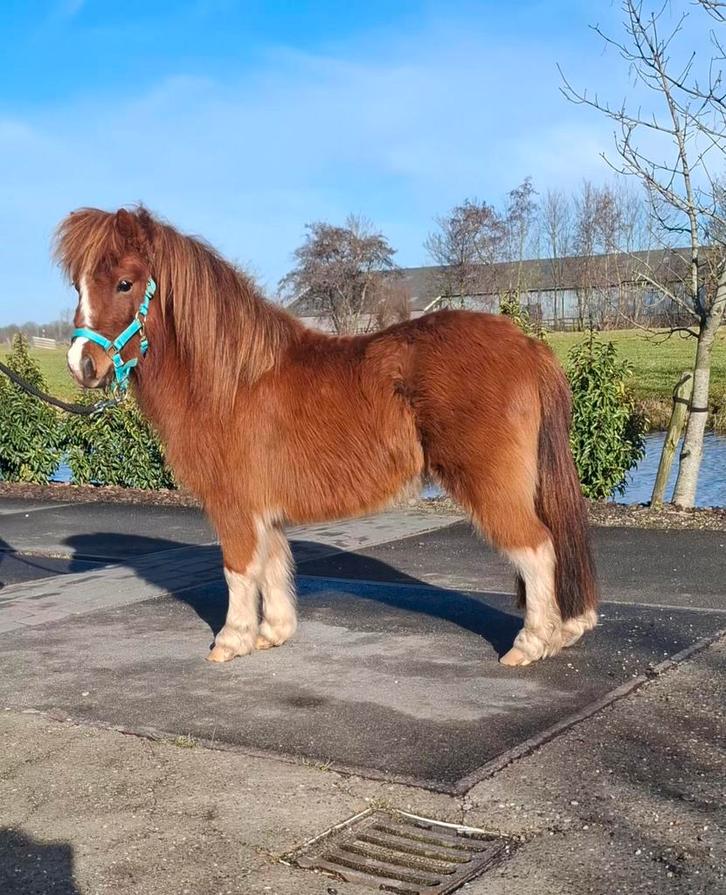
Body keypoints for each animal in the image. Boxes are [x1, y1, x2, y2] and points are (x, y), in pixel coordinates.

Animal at [55, 206, 597, 668]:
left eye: (125, 283)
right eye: (78, 286)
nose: (83, 365)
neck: (230, 379)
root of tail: (528, 345)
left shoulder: (233, 503)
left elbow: (238, 569)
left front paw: (231, 640)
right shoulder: (265, 508)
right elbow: (274, 564)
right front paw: (272, 633)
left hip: (492, 486)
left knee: (537, 547)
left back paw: (530, 643)